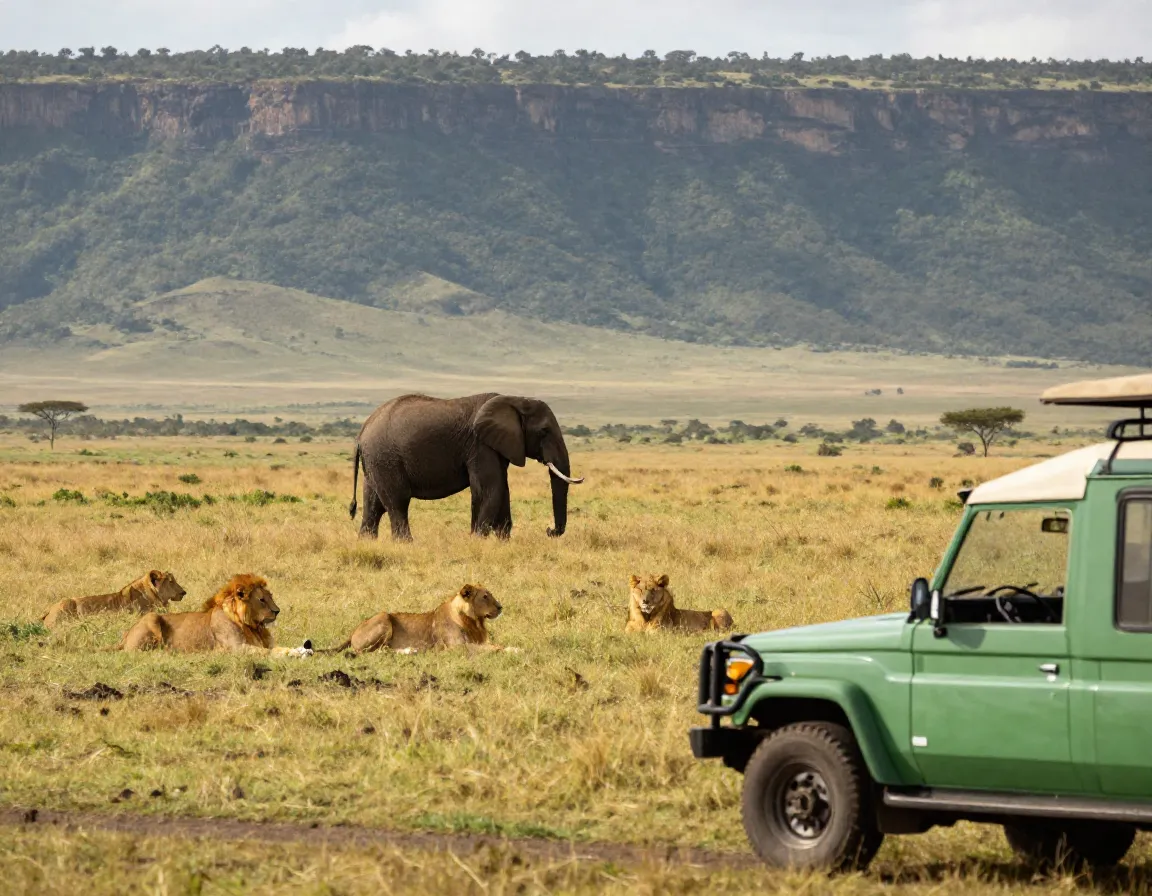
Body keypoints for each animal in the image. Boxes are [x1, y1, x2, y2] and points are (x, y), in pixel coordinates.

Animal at [117, 574, 311, 656]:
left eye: (271, 596)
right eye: (262, 600)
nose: (277, 611)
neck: (251, 625)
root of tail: (124, 636)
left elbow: (277, 648)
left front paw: (299, 650)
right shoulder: (235, 647)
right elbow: (266, 652)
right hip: (152, 617)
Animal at [324, 583, 516, 655]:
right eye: (485, 597)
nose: (500, 607)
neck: (474, 622)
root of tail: (353, 631)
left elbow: (490, 645)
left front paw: (512, 647)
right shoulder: (456, 647)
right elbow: (489, 648)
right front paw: (512, 649)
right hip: (384, 617)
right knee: (376, 651)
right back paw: (410, 651)